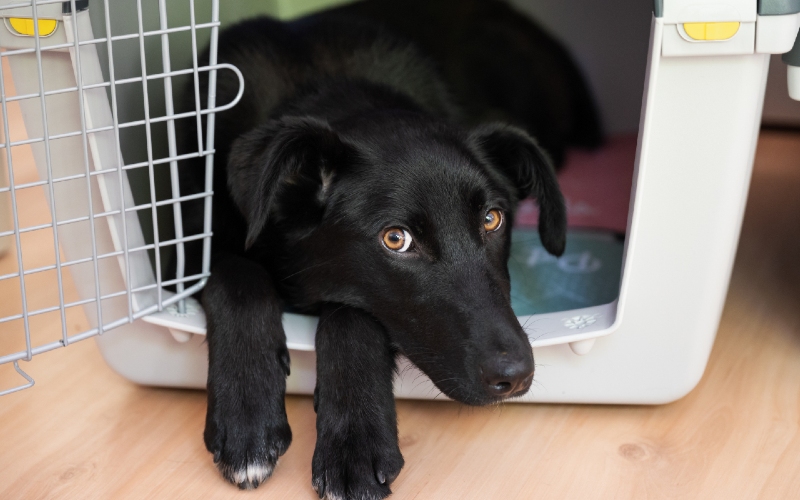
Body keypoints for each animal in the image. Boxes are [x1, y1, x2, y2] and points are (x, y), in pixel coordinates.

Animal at [177, 1, 600, 498]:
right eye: (395, 239)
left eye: (492, 219)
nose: (514, 376)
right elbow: (237, 278)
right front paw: (247, 415)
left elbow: (352, 315)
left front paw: (355, 445)